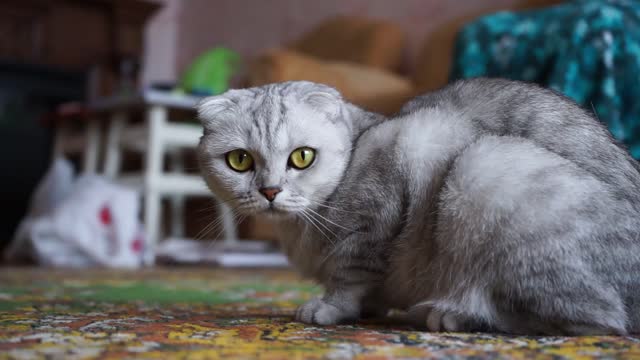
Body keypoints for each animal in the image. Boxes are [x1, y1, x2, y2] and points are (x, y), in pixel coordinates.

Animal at [198, 78, 640, 334]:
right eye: (240, 161)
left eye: (302, 157)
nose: (270, 191)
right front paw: (368, 308)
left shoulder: (388, 184)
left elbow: (349, 276)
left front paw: (330, 309)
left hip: (485, 168)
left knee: (593, 320)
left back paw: (453, 314)